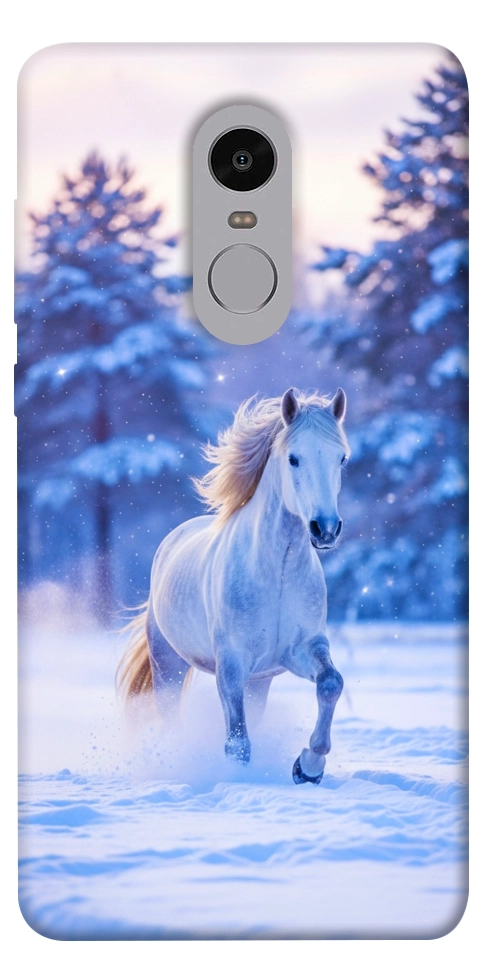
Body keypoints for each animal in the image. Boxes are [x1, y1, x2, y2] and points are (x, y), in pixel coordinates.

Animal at [117, 386, 350, 784]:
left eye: (341, 459)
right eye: (294, 458)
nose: (325, 529)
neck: (277, 573)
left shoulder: (301, 649)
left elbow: (331, 683)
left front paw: (308, 767)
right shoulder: (231, 664)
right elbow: (237, 742)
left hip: (259, 682)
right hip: (168, 665)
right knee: (170, 717)